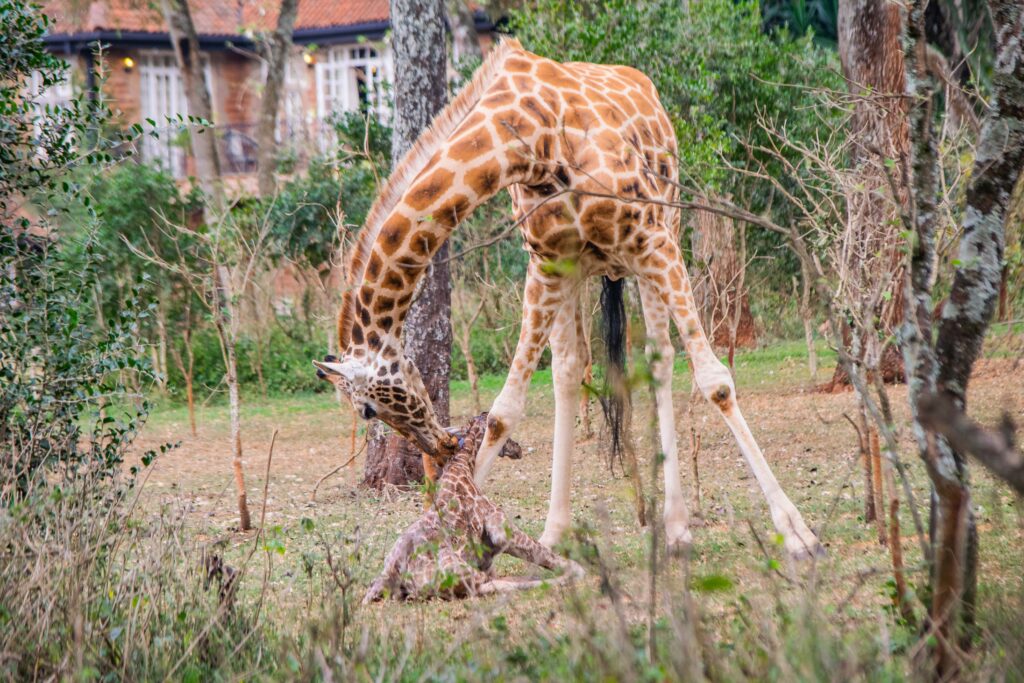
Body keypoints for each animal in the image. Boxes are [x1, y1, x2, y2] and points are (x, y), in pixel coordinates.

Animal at [313, 37, 823, 557]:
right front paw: (453, 537)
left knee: (660, 359)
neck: (531, 138)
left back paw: (678, 527)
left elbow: (716, 381)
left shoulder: (652, 240)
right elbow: (504, 410)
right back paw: (557, 530)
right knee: (569, 368)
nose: (439, 444)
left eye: (367, 409)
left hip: (664, 235)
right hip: (581, 271)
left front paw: (796, 531)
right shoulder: (547, 262)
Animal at [364, 411, 581, 602]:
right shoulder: (499, 526)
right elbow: (543, 552)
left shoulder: (487, 556)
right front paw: (578, 568)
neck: (461, 465)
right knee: (494, 585)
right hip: (460, 573)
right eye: (505, 436)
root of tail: (390, 575)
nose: (518, 449)